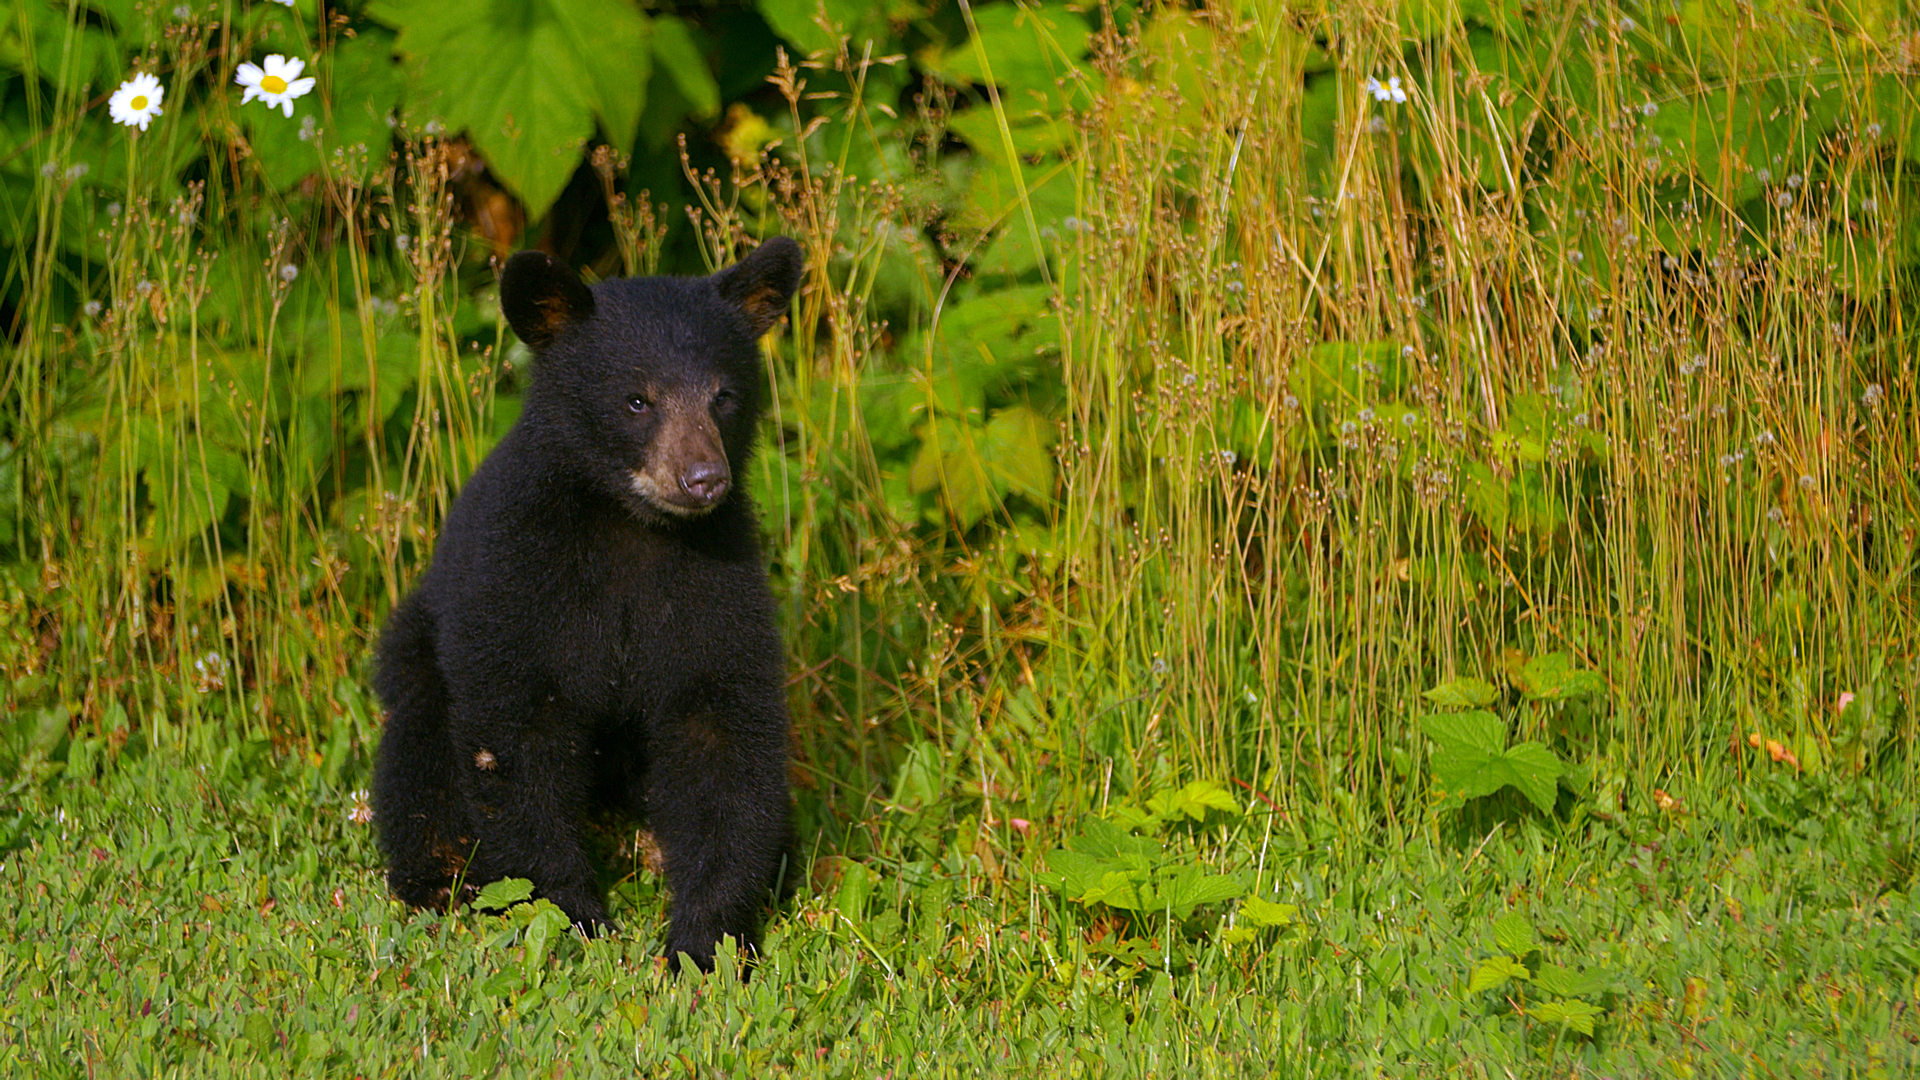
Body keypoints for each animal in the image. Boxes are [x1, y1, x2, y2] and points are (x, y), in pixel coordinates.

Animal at [374, 237, 802, 968]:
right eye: (636, 400)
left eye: (723, 396)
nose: (703, 479)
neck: (632, 530)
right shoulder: (520, 575)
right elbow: (514, 736)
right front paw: (572, 917)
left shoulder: (715, 581)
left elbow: (723, 730)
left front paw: (706, 939)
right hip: (416, 658)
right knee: (418, 759)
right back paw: (438, 877)